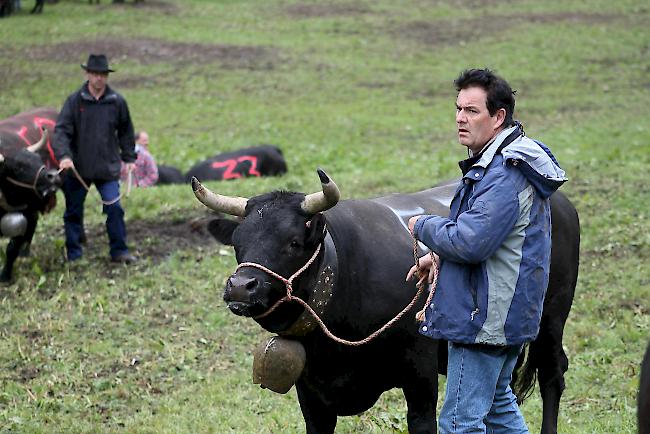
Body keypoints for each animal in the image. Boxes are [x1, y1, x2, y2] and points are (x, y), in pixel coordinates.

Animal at [192, 170, 576, 434]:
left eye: (293, 242)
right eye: (238, 242)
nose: (241, 287)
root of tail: (561, 204)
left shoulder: (420, 378)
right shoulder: (312, 395)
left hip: (552, 318)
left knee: (552, 375)